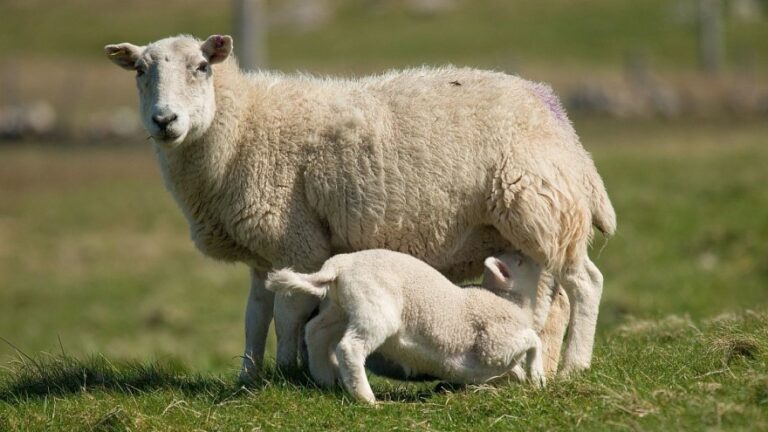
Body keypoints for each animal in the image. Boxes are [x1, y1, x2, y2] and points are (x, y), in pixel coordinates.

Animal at [105, 35, 616, 384]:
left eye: (200, 67)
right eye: (139, 71)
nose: (164, 120)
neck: (242, 127)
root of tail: (553, 110)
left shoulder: (297, 239)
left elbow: (288, 313)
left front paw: (288, 373)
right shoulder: (263, 251)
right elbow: (255, 316)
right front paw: (249, 376)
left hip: (542, 210)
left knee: (587, 284)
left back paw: (574, 366)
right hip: (525, 230)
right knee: (557, 299)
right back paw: (544, 364)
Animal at [268, 248, 548, 404]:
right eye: (520, 262)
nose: (541, 258)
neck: (510, 301)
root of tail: (338, 266)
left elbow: (513, 368)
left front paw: (520, 379)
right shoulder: (494, 343)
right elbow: (534, 340)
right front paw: (538, 378)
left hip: (340, 309)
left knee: (315, 331)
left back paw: (325, 380)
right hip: (375, 307)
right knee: (349, 347)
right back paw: (366, 398)